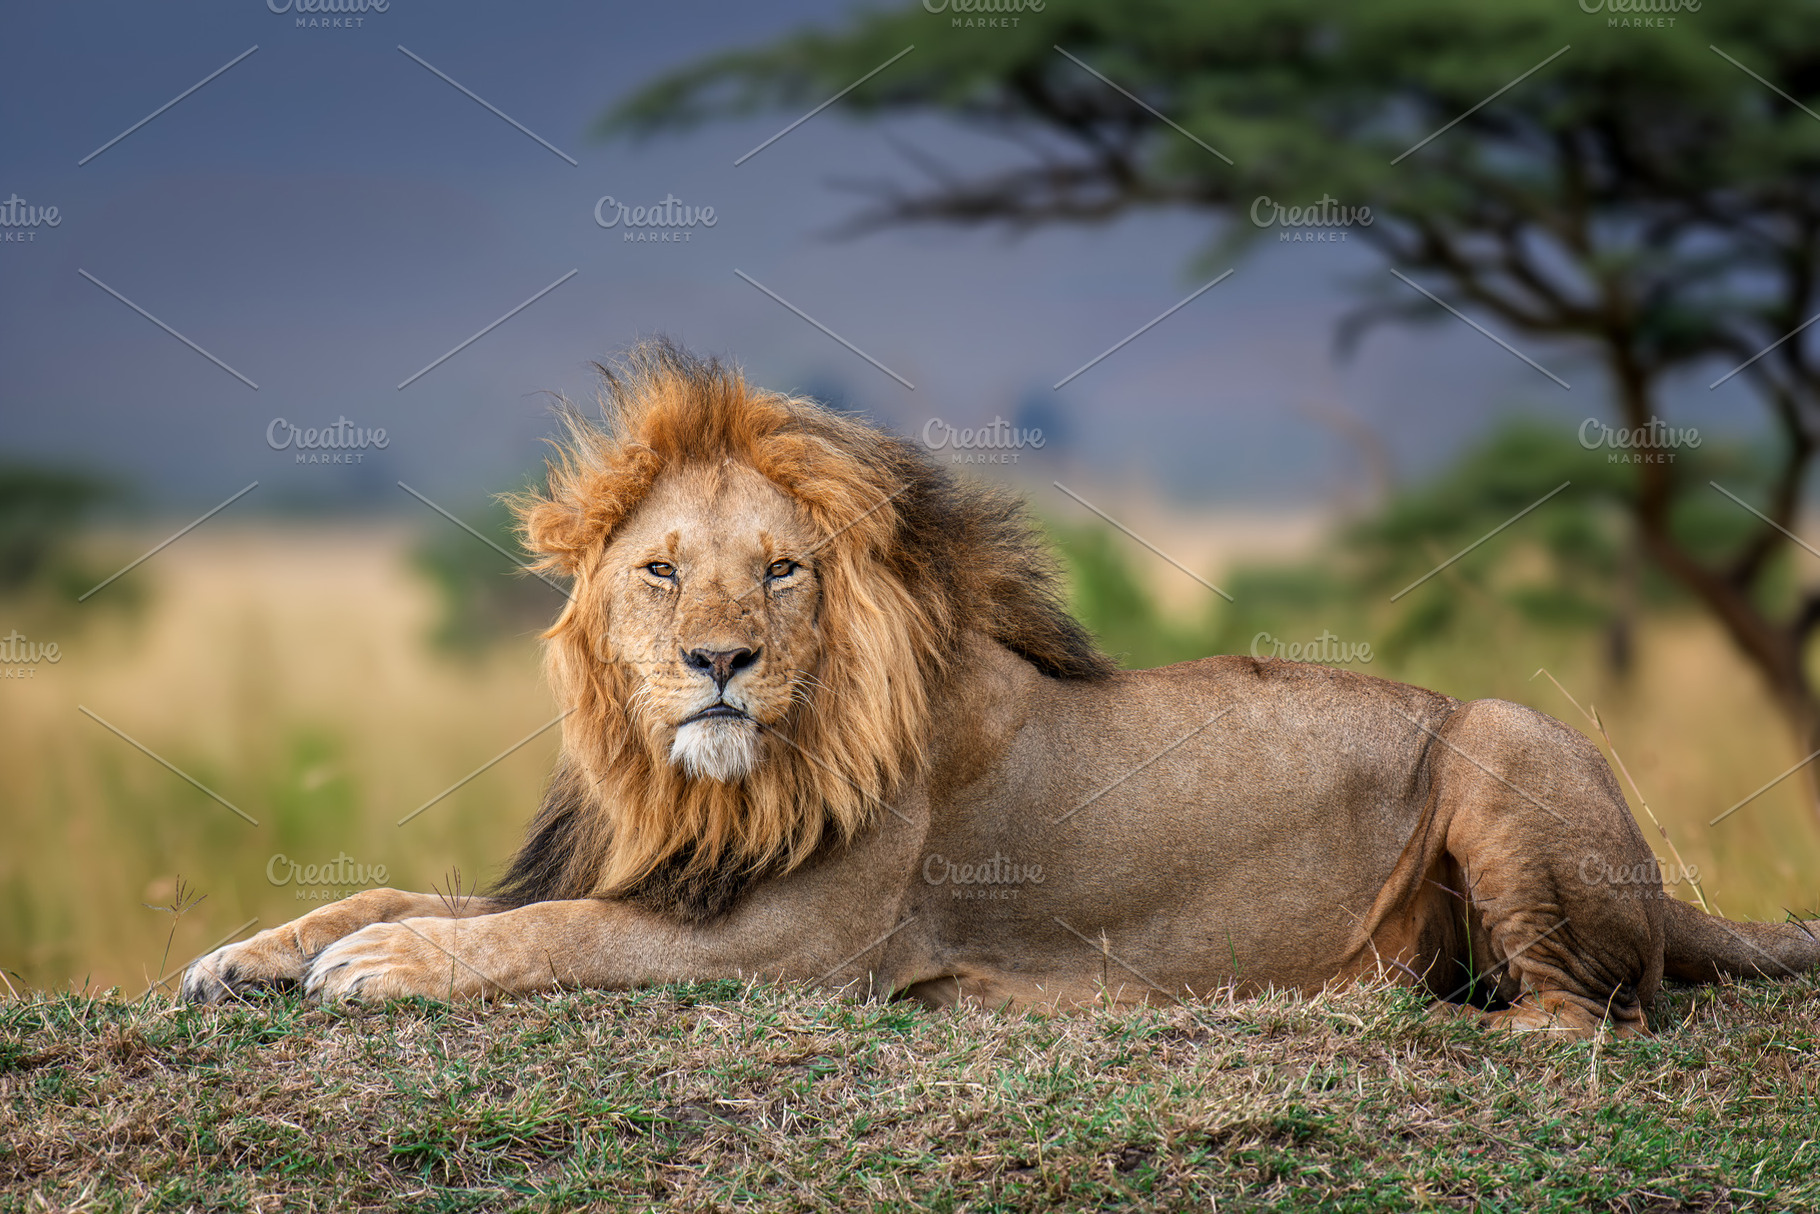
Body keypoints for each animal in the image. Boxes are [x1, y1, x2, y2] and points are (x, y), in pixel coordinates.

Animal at [183, 342, 1820, 1036]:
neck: (713, 781)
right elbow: (411, 889)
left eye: (782, 571)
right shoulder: (654, 864)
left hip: (1500, 734)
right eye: (663, 571)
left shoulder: (795, 946)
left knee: (1586, 1013)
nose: (721, 659)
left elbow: (547, 936)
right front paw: (252, 952)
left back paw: (1419, 1009)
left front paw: (383, 968)